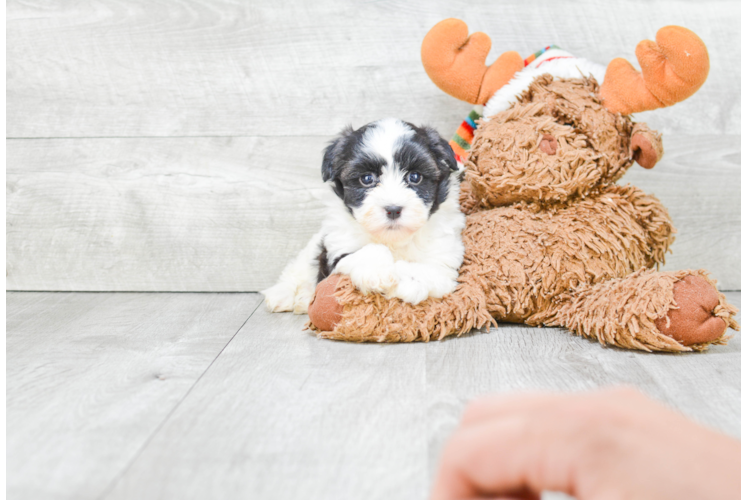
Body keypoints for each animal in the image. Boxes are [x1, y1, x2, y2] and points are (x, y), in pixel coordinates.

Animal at [262, 118, 462, 312]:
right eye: (367, 179)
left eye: (415, 177)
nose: (393, 209)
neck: (394, 240)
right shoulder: (338, 248)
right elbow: (370, 250)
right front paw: (377, 272)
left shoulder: (445, 260)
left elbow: (429, 269)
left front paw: (410, 282)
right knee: (298, 269)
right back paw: (283, 295)